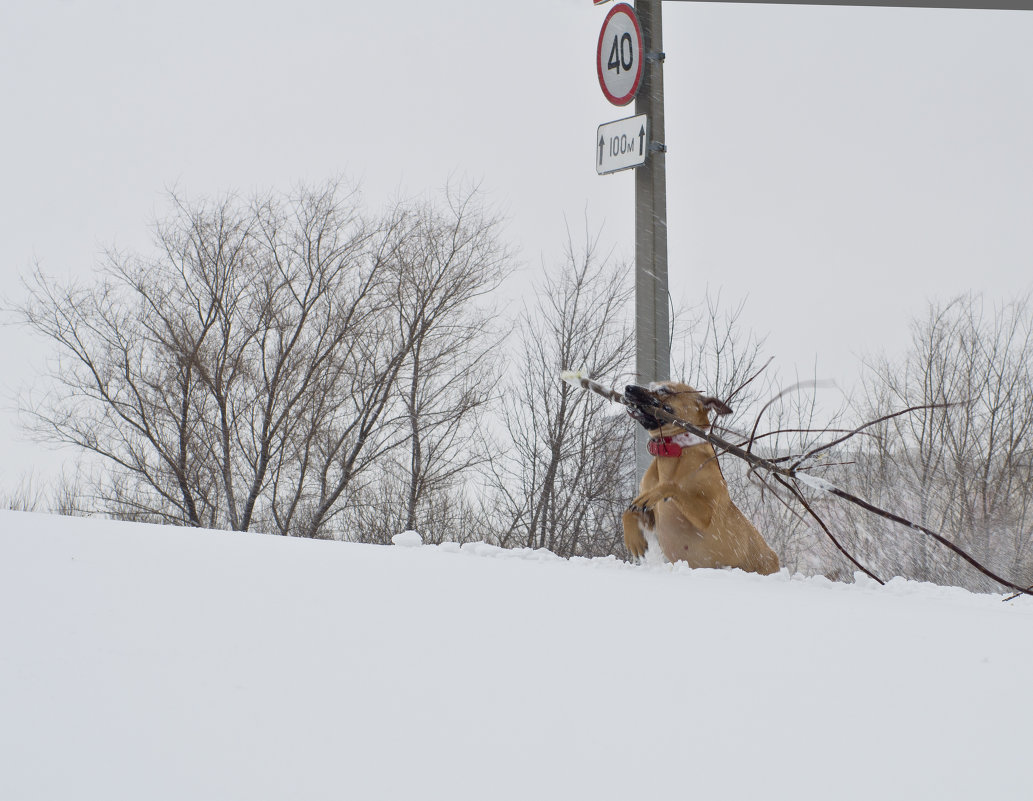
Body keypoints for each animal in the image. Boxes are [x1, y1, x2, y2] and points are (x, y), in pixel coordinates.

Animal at [619, 378, 780, 574]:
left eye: (664, 390)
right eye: (651, 386)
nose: (628, 388)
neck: (673, 453)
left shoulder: (706, 515)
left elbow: (674, 486)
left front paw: (661, 490)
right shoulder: (650, 514)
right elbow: (630, 510)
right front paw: (633, 538)